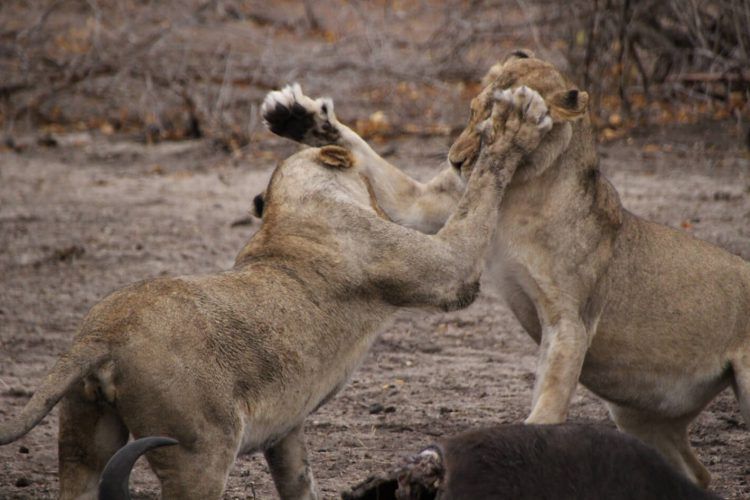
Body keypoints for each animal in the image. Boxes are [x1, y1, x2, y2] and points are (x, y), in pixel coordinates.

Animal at [0, 85, 552, 496]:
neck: (289, 210)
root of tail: (101, 336)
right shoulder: (445, 272)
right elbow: (478, 193)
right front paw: (513, 130)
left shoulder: (285, 430)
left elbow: (299, 481)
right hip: (198, 451)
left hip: (83, 437)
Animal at [262, 51, 750, 488]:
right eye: (470, 111)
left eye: (491, 129)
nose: (456, 161)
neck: (519, 193)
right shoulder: (426, 204)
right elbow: (366, 155)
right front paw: (296, 115)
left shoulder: (570, 321)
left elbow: (550, 399)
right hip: (637, 415)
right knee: (699, 473)